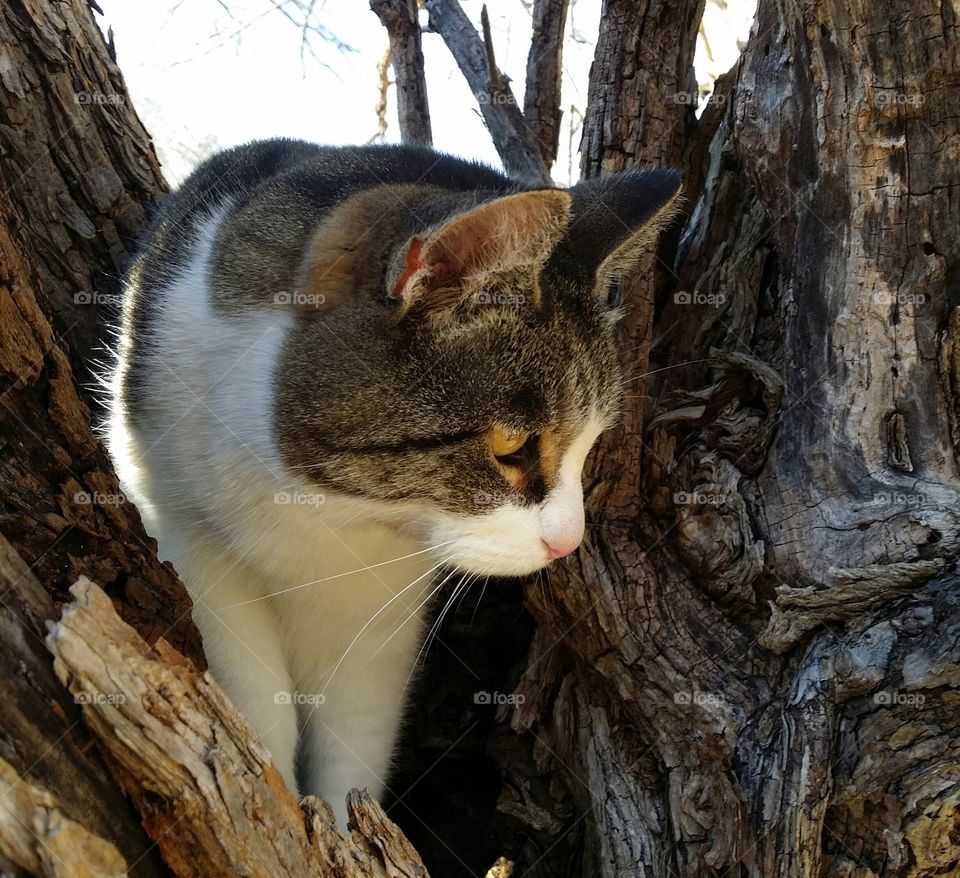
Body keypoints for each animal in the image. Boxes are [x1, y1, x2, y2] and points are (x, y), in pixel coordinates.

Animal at [105, 141, 680, 828]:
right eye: (510, 448)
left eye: (589, 446)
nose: (567, 543)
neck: (325, 511)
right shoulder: (188, 537)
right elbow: (251, 695)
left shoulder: (381, 616)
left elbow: (355, 738)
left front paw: (342, 822)